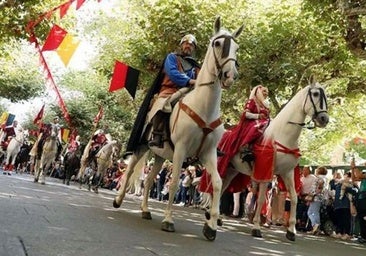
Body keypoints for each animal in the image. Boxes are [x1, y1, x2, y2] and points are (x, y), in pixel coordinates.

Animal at [111, 17, 243, 241]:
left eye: (236, 47)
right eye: (217, 43)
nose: (229, 75)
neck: (204, 108)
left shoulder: (208, 154)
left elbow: (217, 183)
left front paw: (211, 226)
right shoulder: (181, 149)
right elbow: (173, 183)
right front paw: (168, 220)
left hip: (160, 155)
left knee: (149, 181)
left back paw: (145, 210)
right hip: (142, 147)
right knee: (129, 171)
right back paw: (119, 200)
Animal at [217, 76, 328, 242]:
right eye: (315, 94)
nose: (324, 119)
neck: (282, 135)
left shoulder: (287, 173)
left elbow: (293, 198)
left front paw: (291, 231)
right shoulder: (265, 171)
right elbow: (261, 199)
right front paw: (256, 227)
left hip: (232, 170)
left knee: (223, 188)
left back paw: (216, 216)